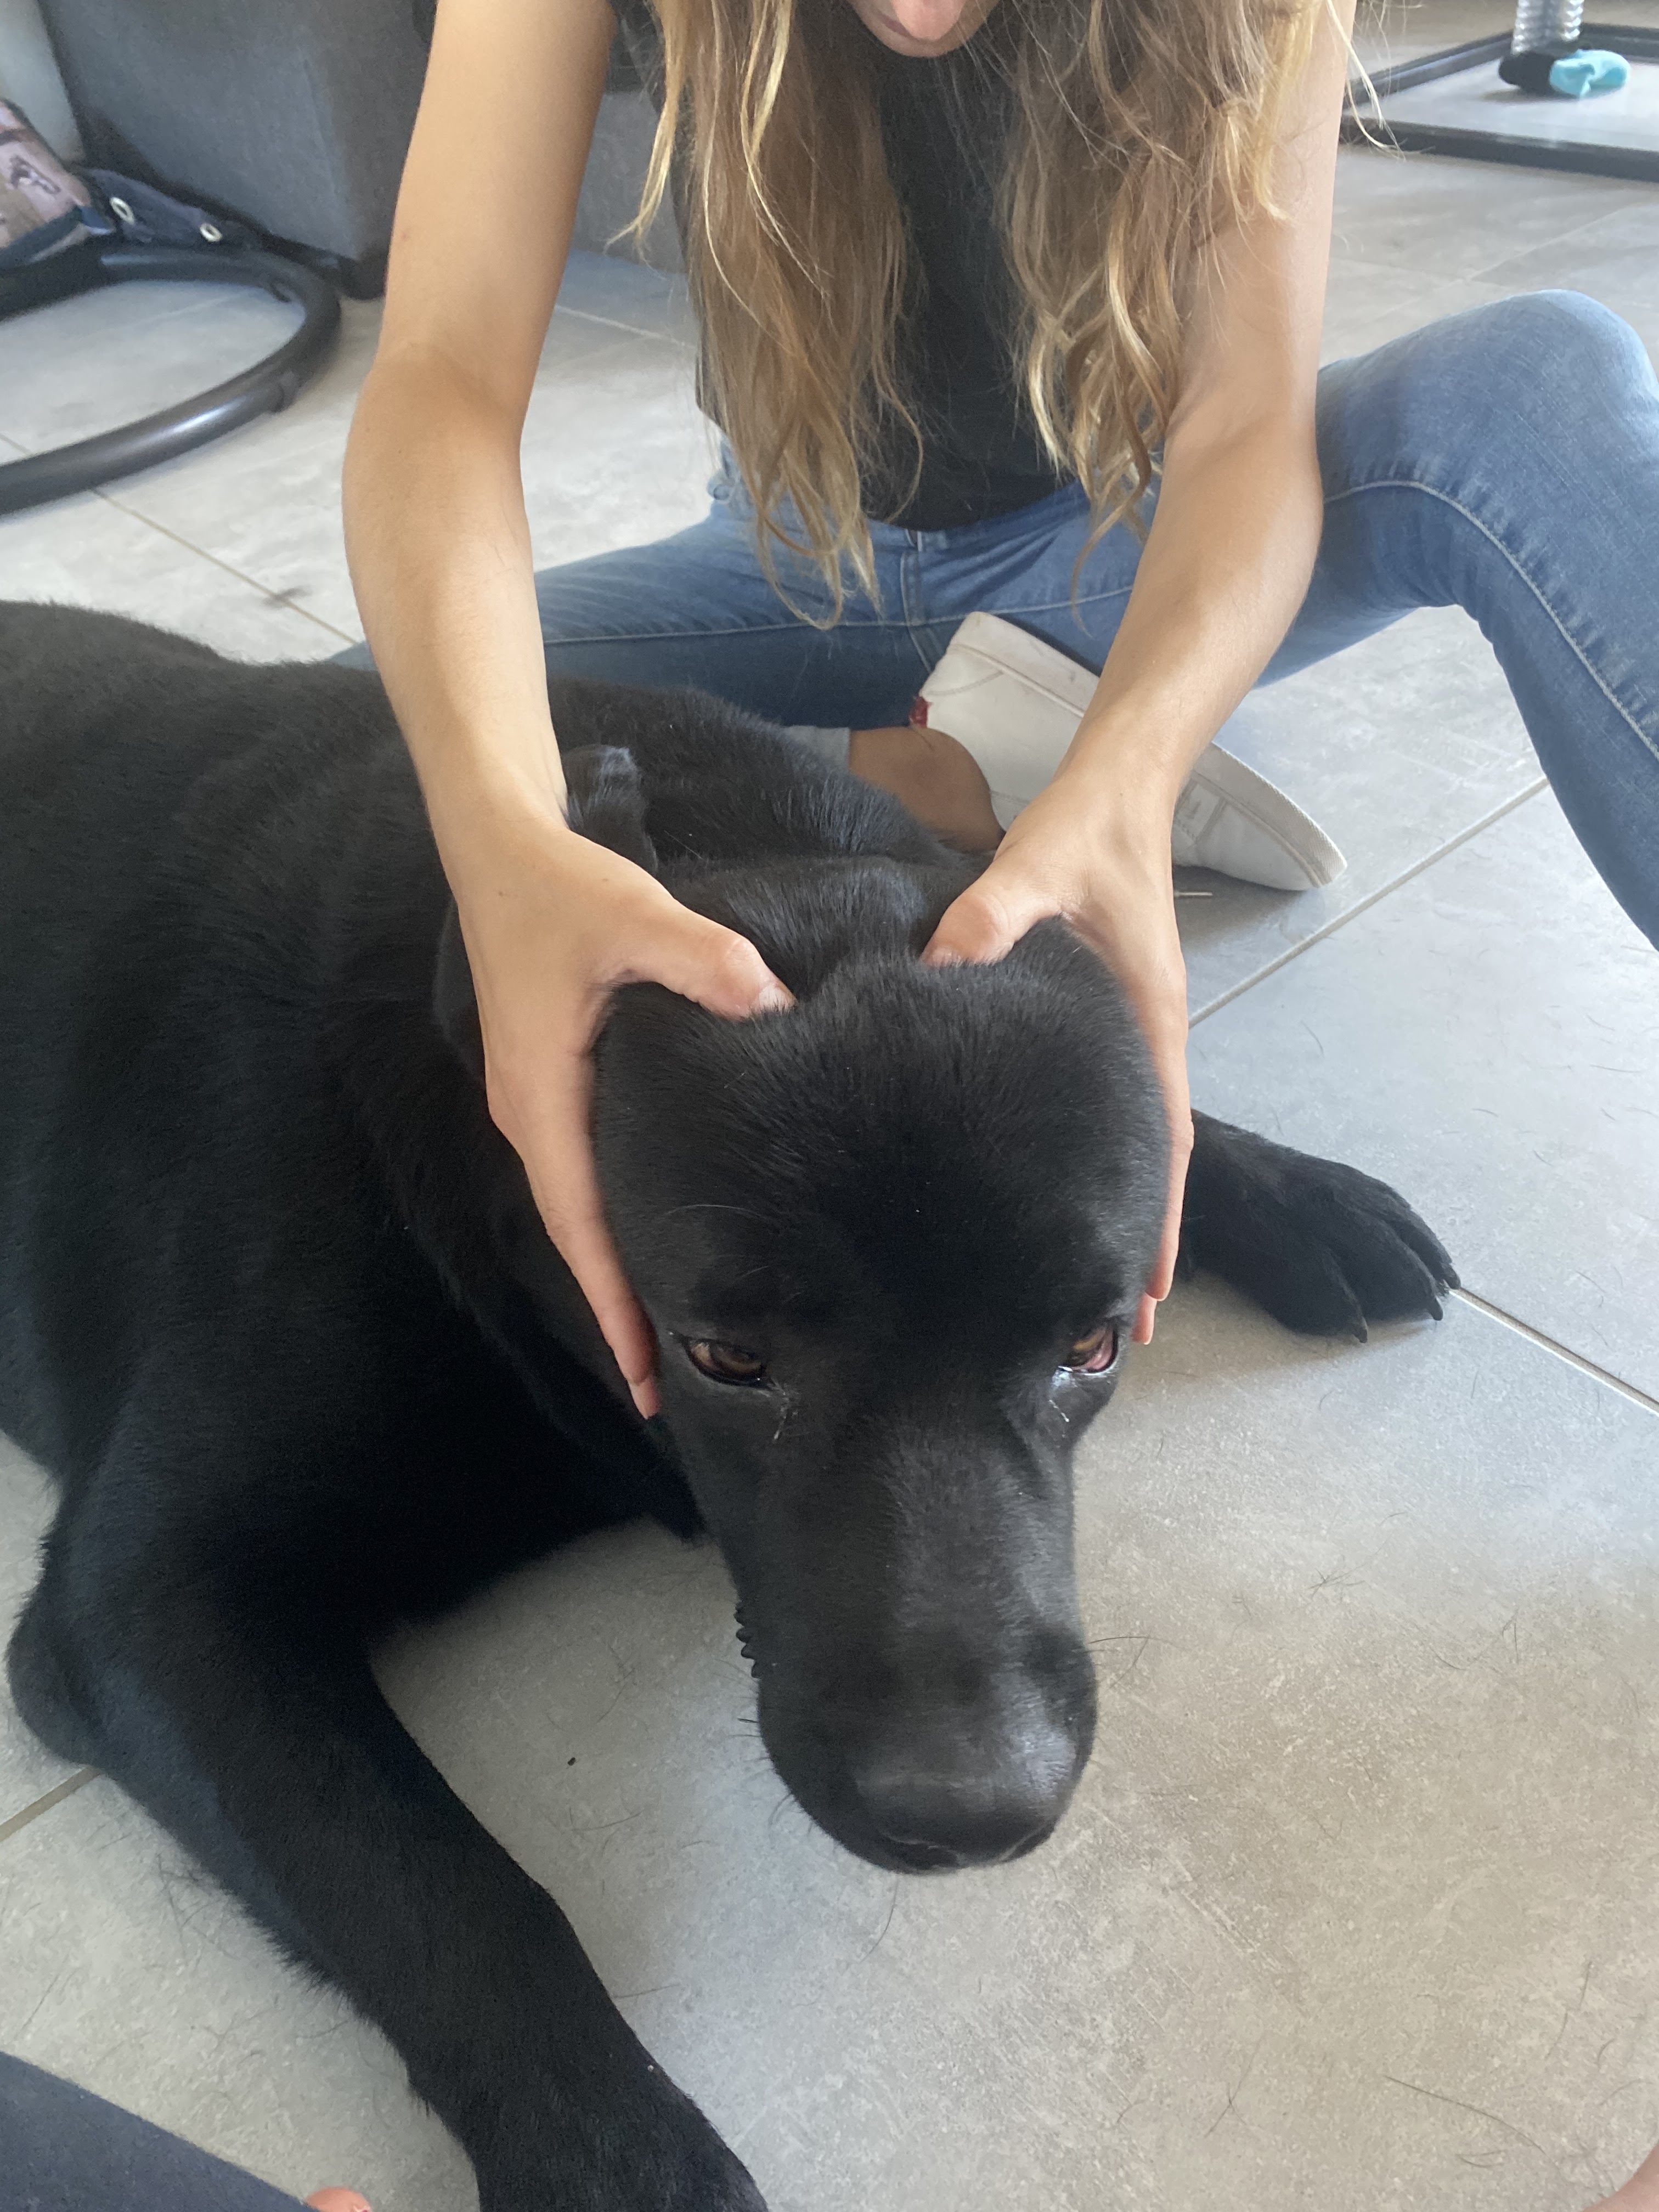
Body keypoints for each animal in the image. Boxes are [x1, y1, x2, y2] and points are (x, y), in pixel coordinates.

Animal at [0, 603, 1455, 2209]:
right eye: (725, 1359)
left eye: (1093, 1343)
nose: (976, 1812)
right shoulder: (144, 1605)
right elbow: (449, 1892)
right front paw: (624, 2157)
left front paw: (1285, 1187)